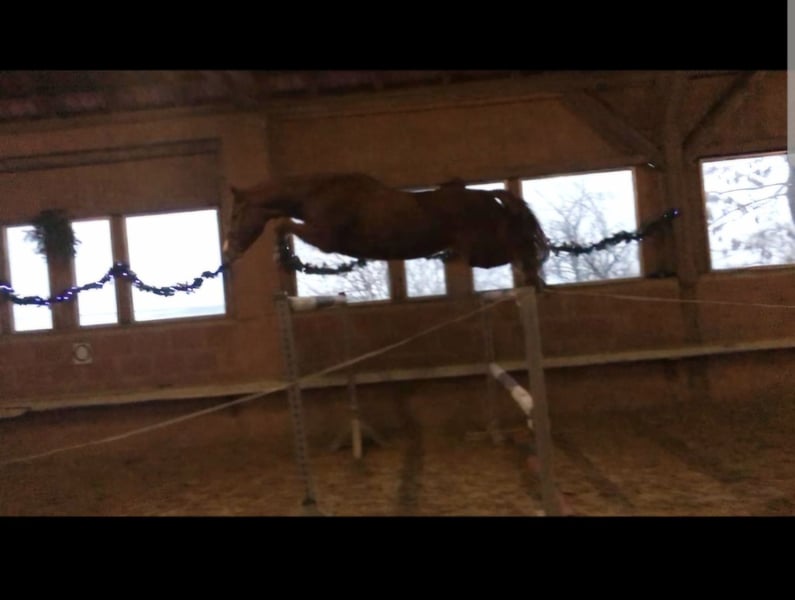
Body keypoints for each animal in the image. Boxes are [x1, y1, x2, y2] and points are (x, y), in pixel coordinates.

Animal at [222, 173, 549, 288]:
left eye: (236, 214)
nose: (229, 251)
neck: (317, 193)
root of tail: (486, 196)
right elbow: (284, 224)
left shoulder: (326, 238)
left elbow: (283, 224)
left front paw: (281, 255)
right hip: (481, 252)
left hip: (483, 252)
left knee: (516, 247)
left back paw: (532, 274)